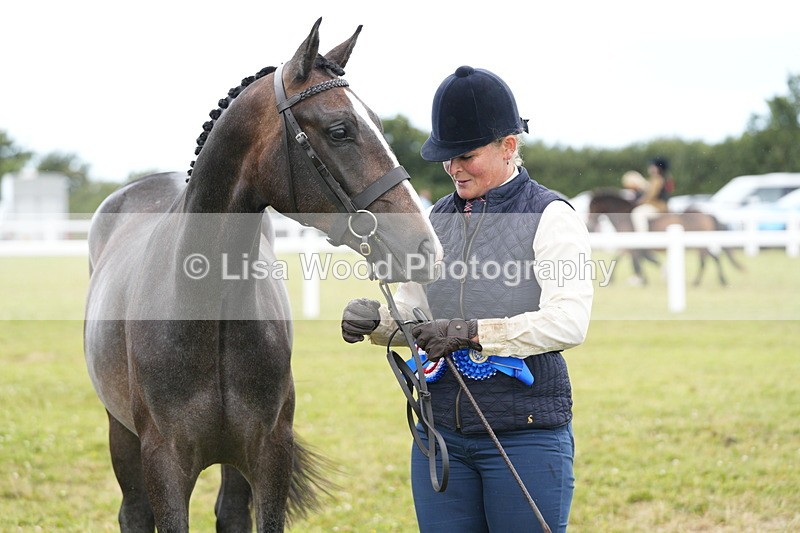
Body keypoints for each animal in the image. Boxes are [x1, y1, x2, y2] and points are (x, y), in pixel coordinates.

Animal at [84, 19, 442, 532]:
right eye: (340, 129)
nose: (426, 246)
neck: (206, 313)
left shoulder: (269, 455)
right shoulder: (164, 463)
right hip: (121, 435)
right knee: (133, 512)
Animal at [587, 189, 743, 286]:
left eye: (591, 207)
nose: (589, 224)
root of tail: (707, 213)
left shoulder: (630, 244)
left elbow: (623, 259)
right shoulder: (633, 246)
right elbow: (637, 259)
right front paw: (644, 278)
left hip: (699, 243)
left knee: (709, 259)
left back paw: (711, 281)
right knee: (710, 258)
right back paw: (710, 281)